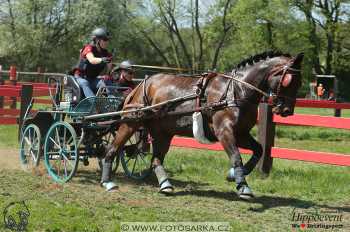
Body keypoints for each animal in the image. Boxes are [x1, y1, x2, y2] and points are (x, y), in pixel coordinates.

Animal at [100, 50, 302, 199]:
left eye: (298, 83)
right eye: (289, 80)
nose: (287, 110)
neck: (236, 91)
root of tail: (141, 84)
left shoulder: (241, 133)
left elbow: (259, 149)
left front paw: (236, 174)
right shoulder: (224, 131)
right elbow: (236, 156)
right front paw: (243, 186)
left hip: (162, 132)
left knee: (156, 159)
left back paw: (165, 185)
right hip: (130, 123)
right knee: (112, 149)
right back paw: (107, 181)